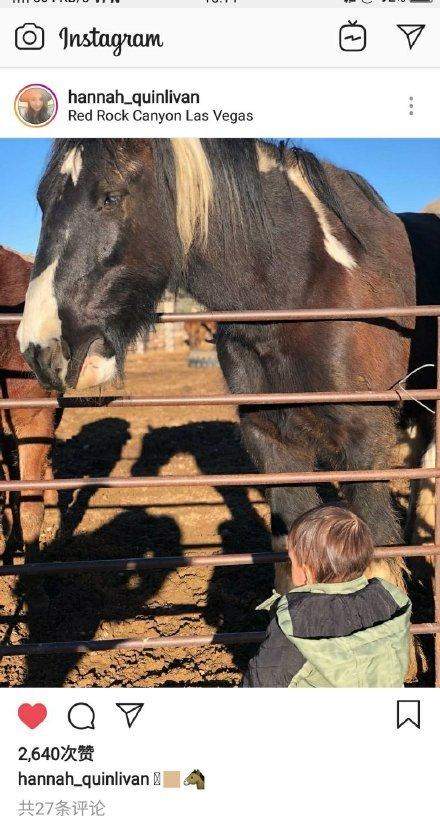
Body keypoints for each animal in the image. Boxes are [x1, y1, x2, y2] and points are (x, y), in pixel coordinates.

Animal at [15, 137, 424, 600]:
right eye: (42, 201)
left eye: (110, 197)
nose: (39, 348)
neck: (310, 287)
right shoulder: (271, 441)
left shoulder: (365, 444)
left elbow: (382, 568)